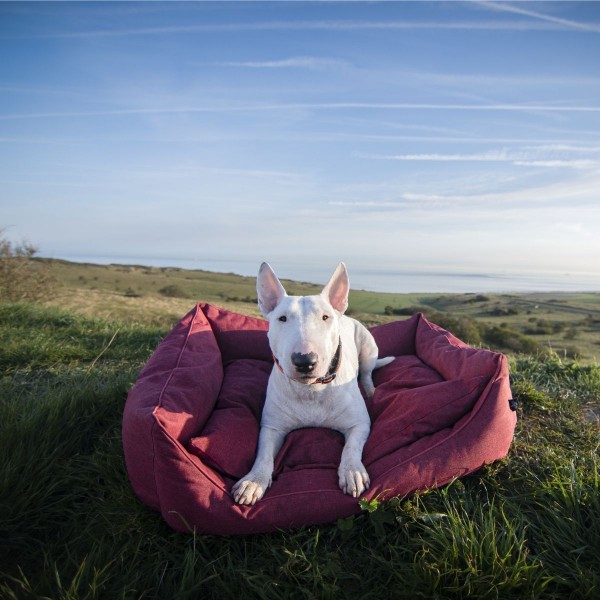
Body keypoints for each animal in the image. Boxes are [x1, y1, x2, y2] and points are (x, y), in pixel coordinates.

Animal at [231, 262, 394, 506]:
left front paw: (352, 472)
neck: (311, 390)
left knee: (366, 373)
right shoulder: (271, 427)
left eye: (325, 317)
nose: (305, 361)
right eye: (282, 318)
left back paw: (369, 389)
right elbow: (263, 454)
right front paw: (253, 481)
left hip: (368, 347)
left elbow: (351, 447)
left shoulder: (359, 424)